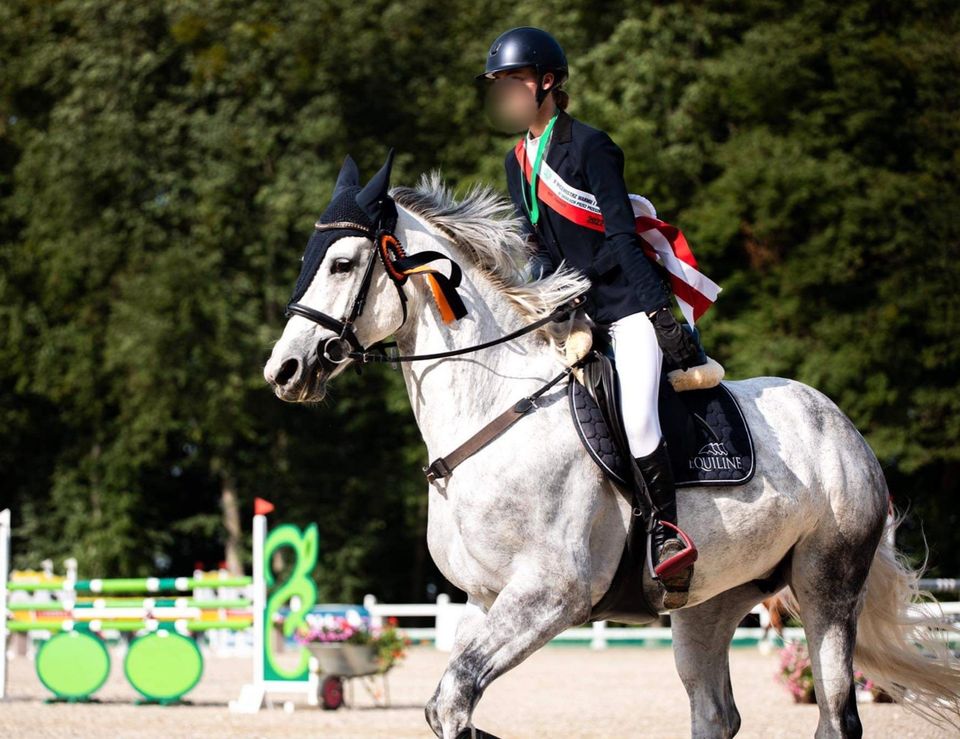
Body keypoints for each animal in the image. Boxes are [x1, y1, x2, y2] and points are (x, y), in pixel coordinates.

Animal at [264, 153, 960, 736]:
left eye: (342, 265)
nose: (284, 371)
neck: (491, 415)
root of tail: (841, 425)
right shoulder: (484, 600)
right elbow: (446, 707)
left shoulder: (552, 593)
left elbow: (454, 700)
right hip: (709, 601)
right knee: (715, 714)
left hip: (826, 585)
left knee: (836, 714)